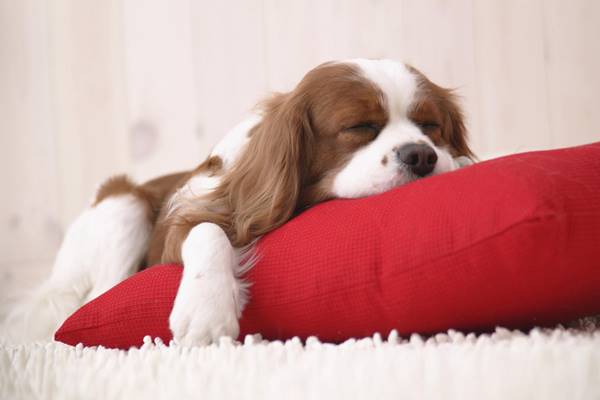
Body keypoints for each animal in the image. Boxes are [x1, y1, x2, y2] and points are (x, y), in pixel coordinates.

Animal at [3, 58, 474, 344]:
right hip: (122, 205)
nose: (421, 155)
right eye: (359, 127)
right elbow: (208, 231)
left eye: (431, 127)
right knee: (95, 296)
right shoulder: (179, 228)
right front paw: (206, 309)